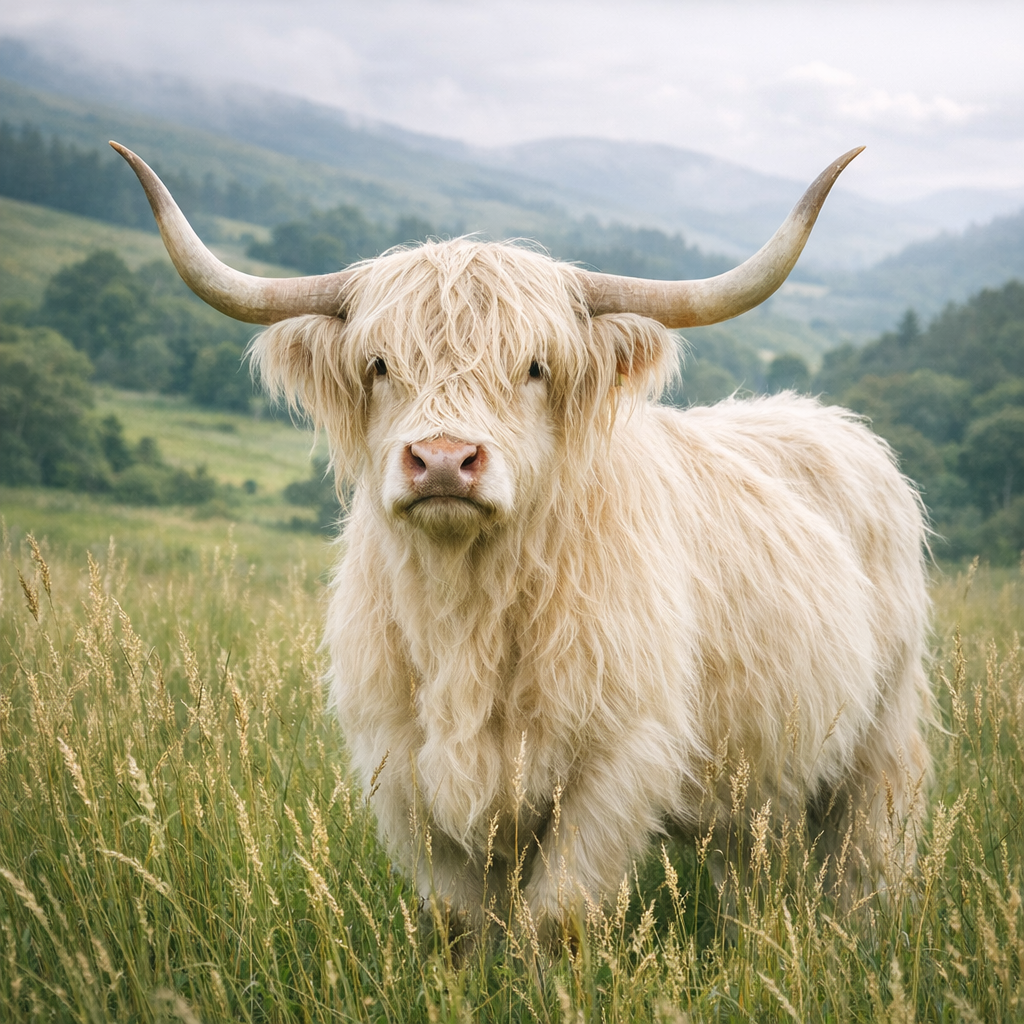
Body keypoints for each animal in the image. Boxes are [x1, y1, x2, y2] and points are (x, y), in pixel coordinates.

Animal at [112, 141, 931, 940]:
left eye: (535, 366)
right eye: (379, 364)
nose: (444, 459)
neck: (465, 611)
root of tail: (828, 420)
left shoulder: (618, 762)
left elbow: (557, 917)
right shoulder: (402, 767)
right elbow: (456, 920)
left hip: (878, 746)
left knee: (864, 866)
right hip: (753, 787)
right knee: (754, 877)